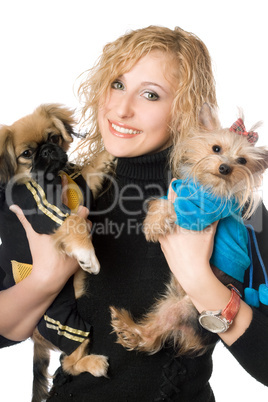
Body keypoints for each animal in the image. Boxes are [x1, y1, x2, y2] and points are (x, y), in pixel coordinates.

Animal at [0, 104, 114, 402]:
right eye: (27, 154)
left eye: (53, 138)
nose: (48, 151)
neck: (49, 180)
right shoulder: (47, 214)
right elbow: (74, 223)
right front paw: (87, 254)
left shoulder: (81, 185)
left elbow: (94, 165)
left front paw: (111, 150)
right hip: (67, 324)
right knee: (69, 364)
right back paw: (95, 364)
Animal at [109, 104, 268, 358]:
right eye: (216, 148)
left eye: (242, 160)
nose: (225, 168)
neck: (206, 185)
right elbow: (161, 201)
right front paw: (153, 220)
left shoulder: (201, 212)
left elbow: (174, 207)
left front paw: (154, 225)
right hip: (172, 301)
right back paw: (127, 327)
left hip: (187, 307)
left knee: (150, 337)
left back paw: (128, 329)